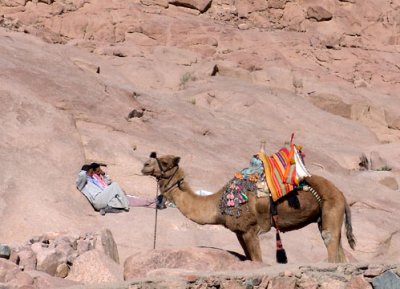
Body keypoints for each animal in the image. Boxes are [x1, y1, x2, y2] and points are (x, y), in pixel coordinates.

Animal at [141, 152, 356, 262]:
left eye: (165, 162)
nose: (144, 165)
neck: (218, 205)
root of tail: (342, 194)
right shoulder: (239, 232)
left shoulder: (250, 230)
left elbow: (258, 261)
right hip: (324, 217)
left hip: (331, 208)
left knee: (330, 243)